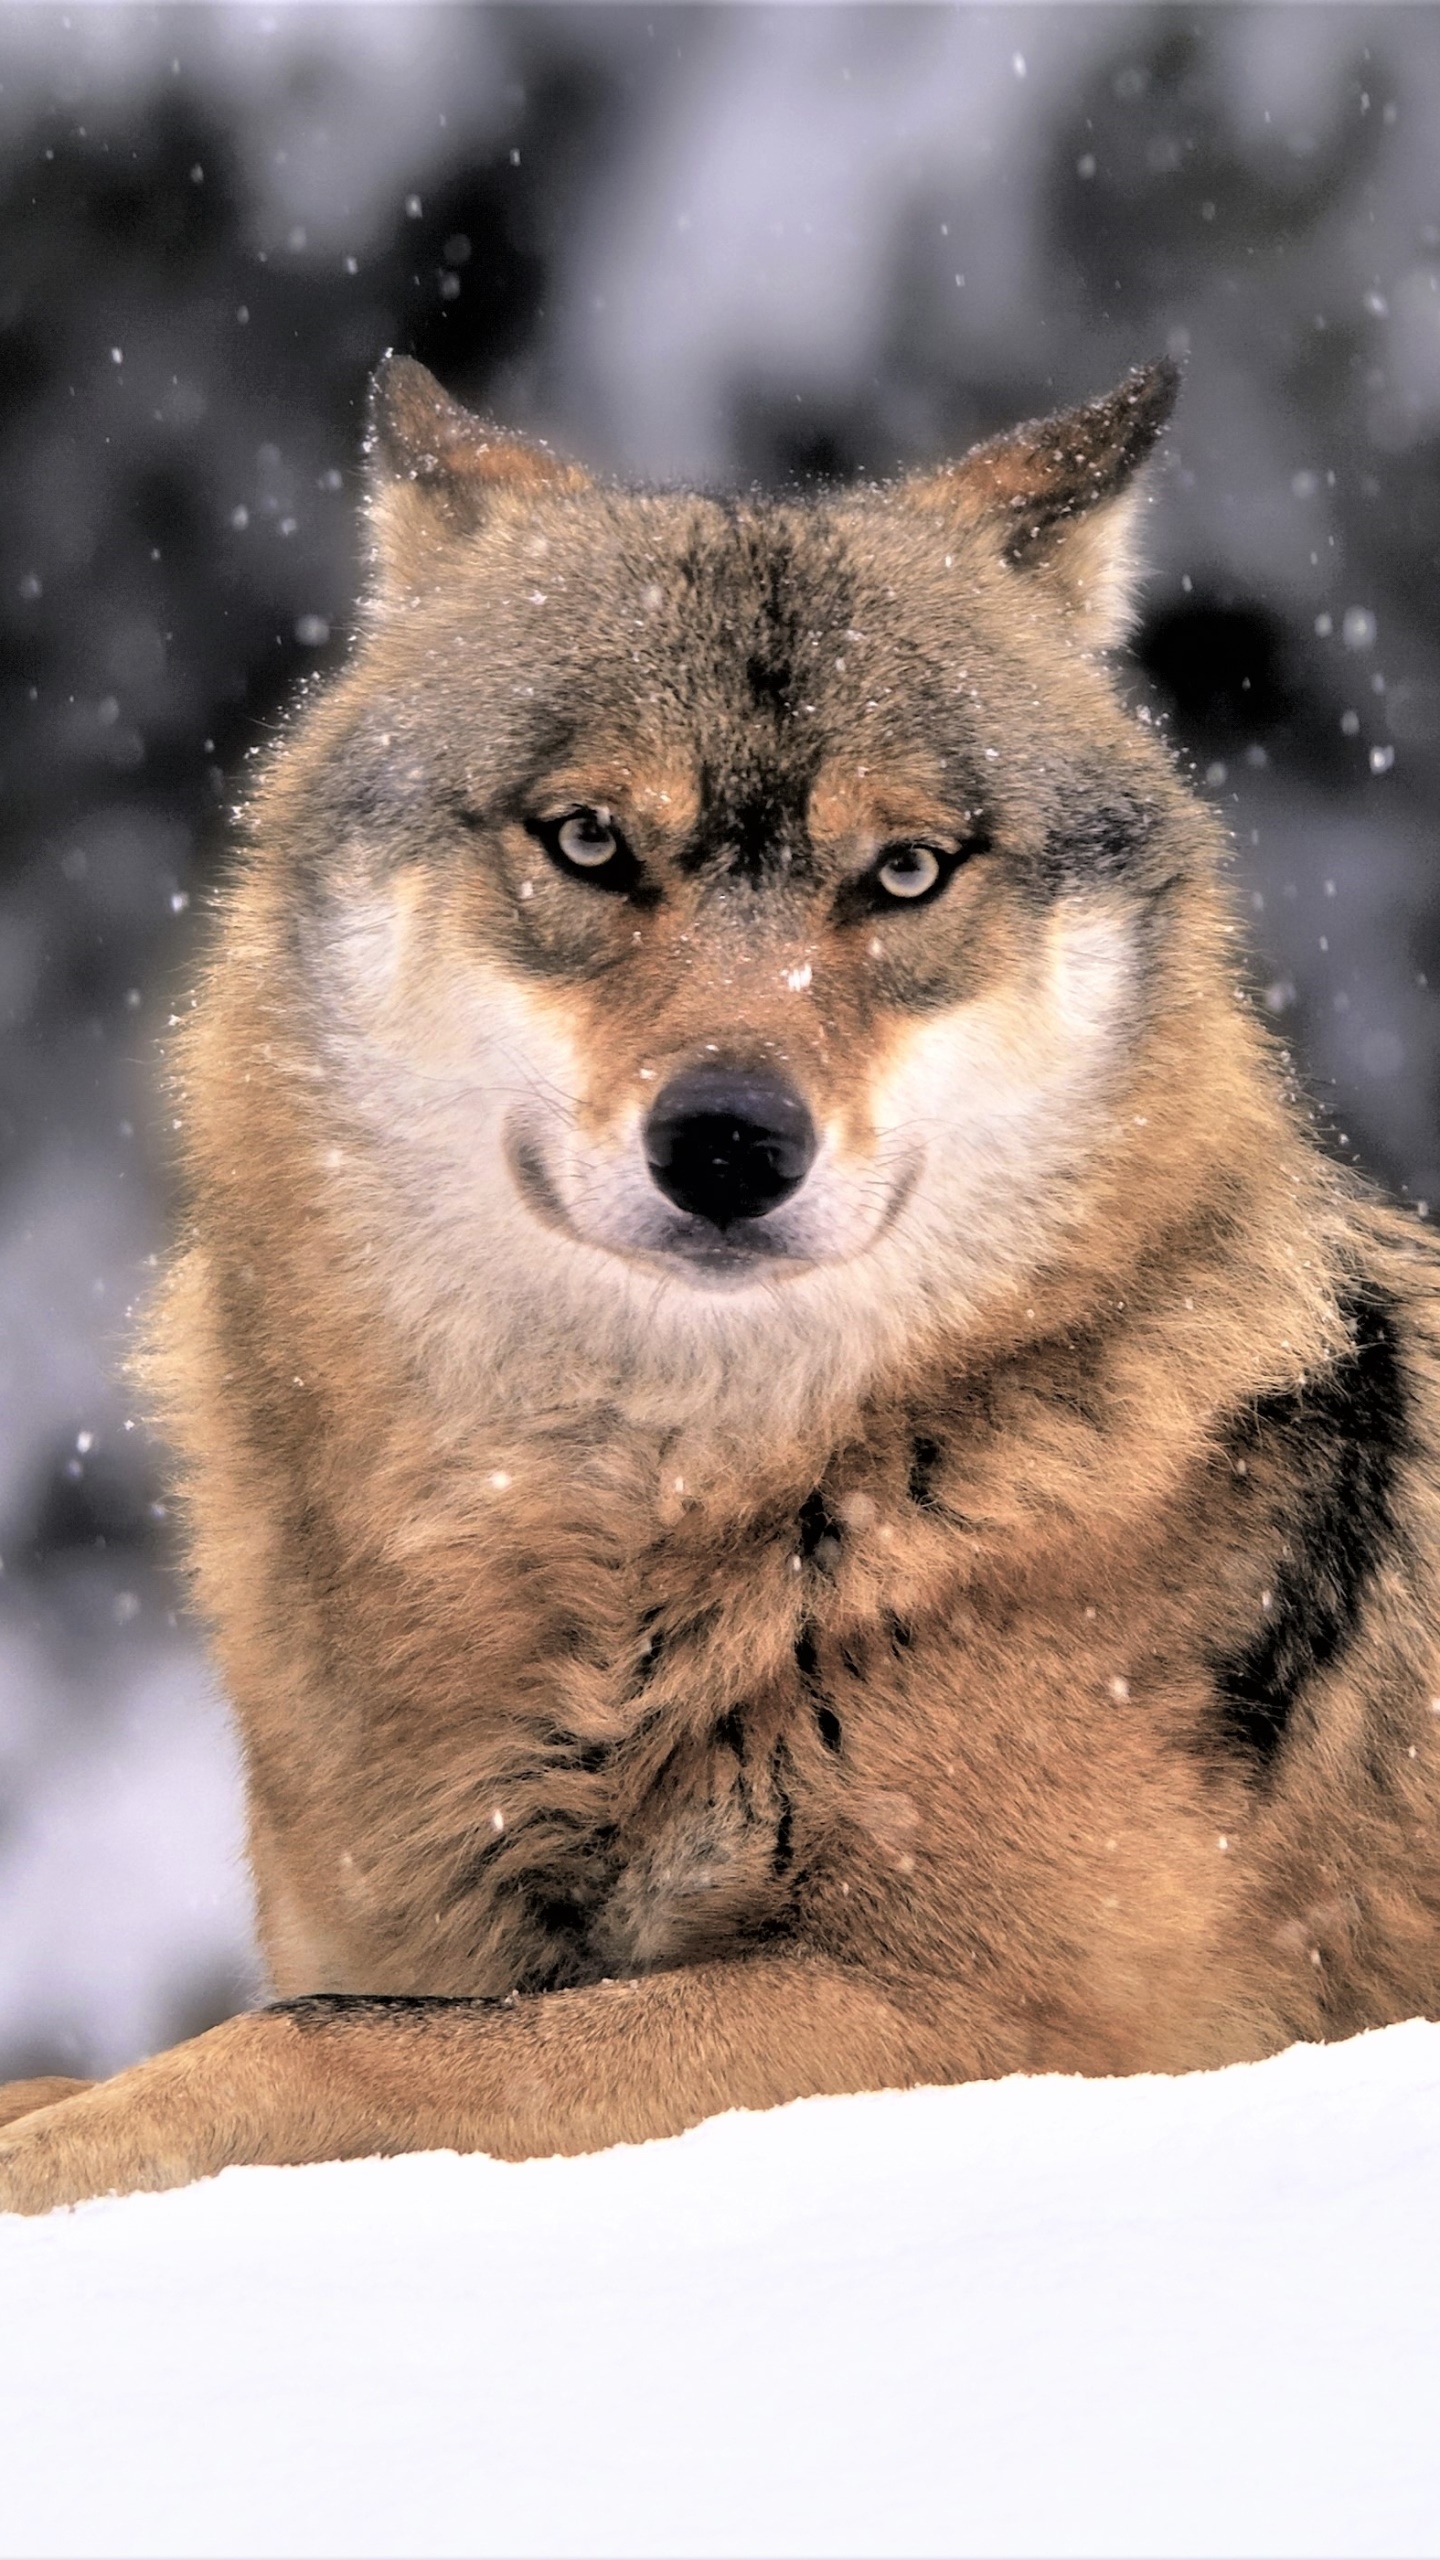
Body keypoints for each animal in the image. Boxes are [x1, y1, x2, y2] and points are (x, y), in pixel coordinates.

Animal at [2, 353, 1438, 2214]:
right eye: (594, 842)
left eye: (903, 871)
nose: (733, 1142)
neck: (629, 1540)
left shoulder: (998, 2016)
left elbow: (325, 2044)